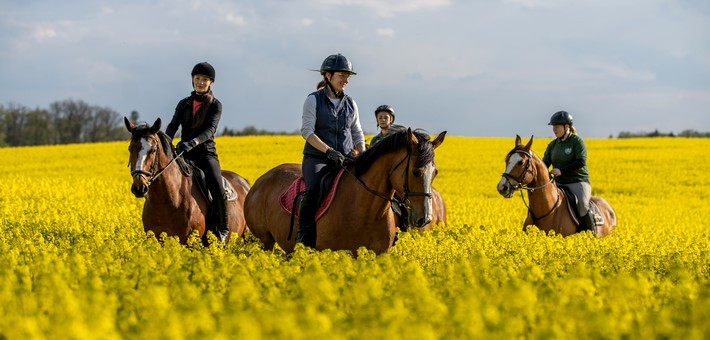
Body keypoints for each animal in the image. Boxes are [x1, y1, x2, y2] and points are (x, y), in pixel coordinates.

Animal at [245, 129, 444, 254]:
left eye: (435, 172)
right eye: (415, 171)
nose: (425, 218)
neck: (367, 210)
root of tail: (259, 181)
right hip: (265, 241)